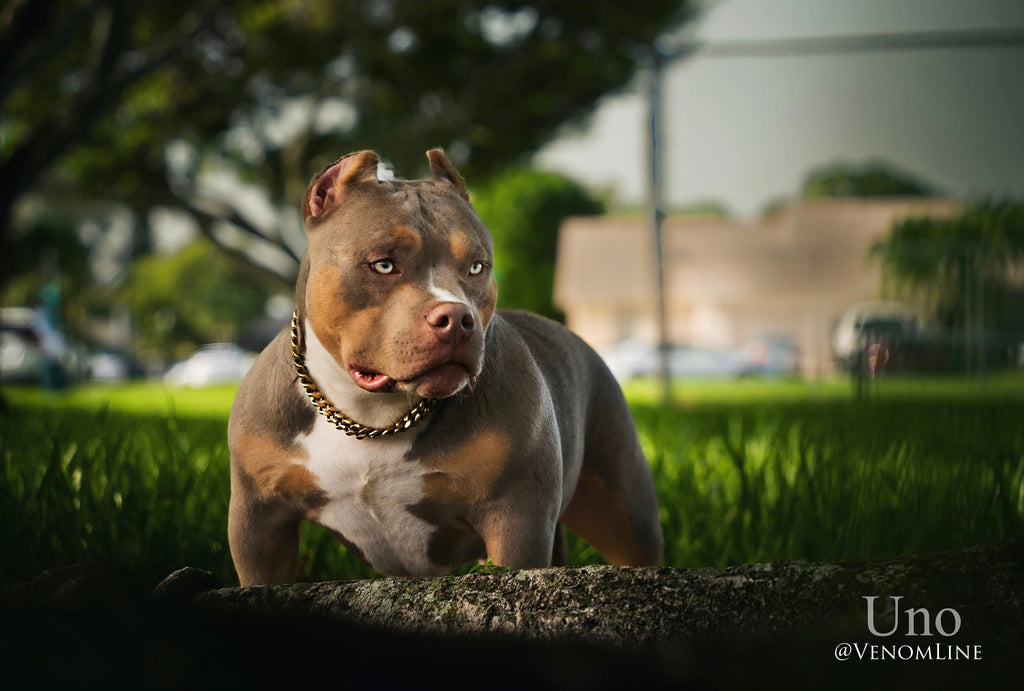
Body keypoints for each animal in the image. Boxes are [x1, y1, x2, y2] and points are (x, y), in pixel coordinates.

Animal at [228, 150, 663, 585]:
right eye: (383, 265)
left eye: (477, 267)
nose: (457, 319)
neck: (371, 416)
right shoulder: (259, 523)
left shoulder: (517, 519)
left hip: (622, 510)